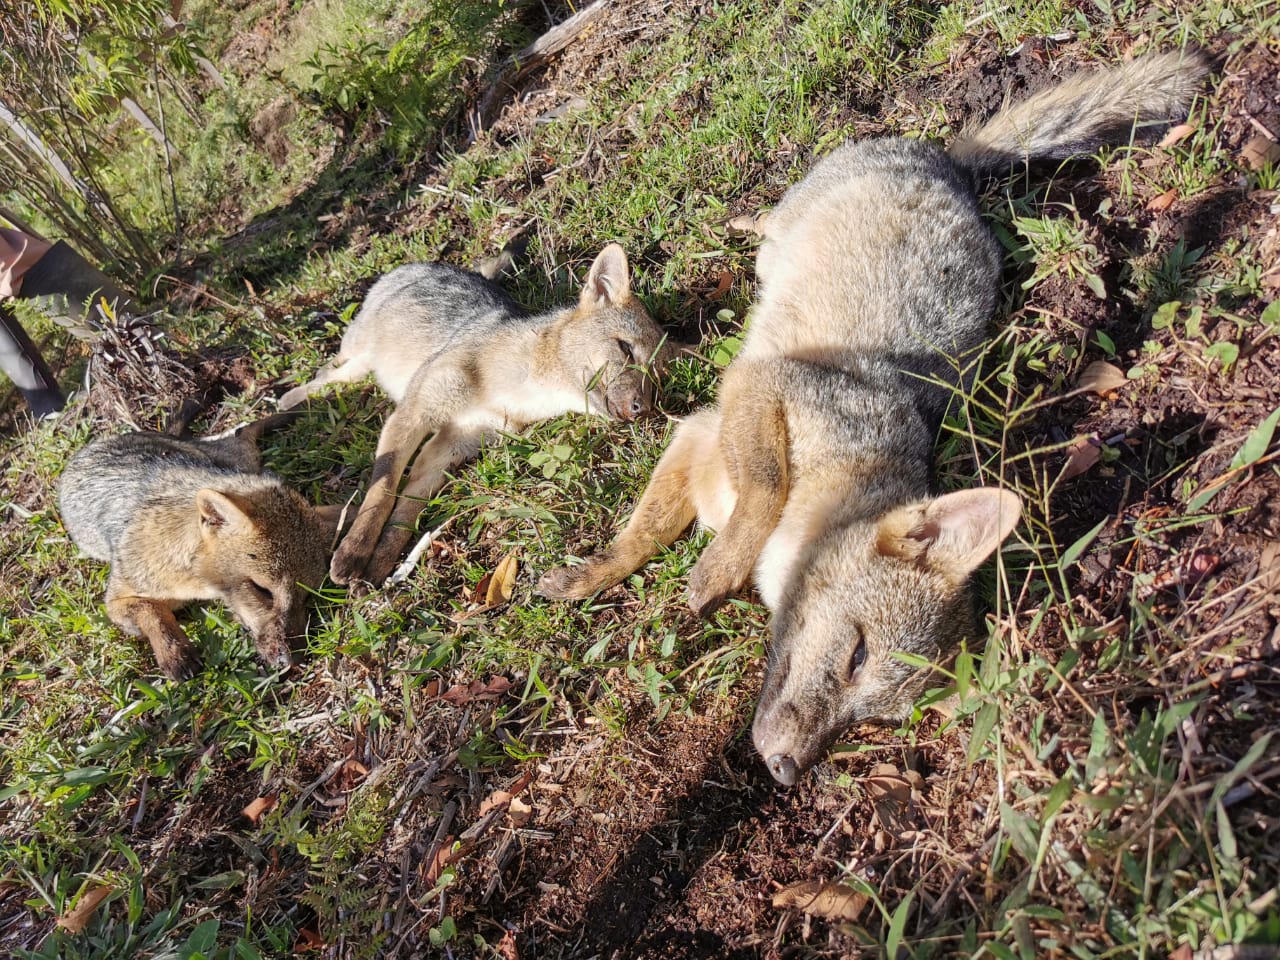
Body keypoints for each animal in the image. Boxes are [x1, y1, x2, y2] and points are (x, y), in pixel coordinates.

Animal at [58, 417, 340, 680]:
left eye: (308, 596)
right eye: (262, 591)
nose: (291, 660)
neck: (197, 582)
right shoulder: (117, 599)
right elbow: (151, 610)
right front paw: (174, 652)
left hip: (241, 459)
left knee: (243, 432)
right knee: (240, 432)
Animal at [282, 244, 670, 591]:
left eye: (656, 380)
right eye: (625, 349)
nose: (642, 409)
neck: (516, 389)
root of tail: (431, 265)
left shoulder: (448, 448)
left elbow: (404, 514)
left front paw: (378, 565)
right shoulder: (412, 414)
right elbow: (382, 491)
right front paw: (353, 553)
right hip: (358, 356)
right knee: (327, 373)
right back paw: (288, 400)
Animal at [537, 52, 1208, 783]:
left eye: (873, 721)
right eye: (856, 655)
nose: (786, 768)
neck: (849, 475)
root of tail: (941, 159)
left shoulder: (698, 434)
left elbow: (656, 527)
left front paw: (609, 573)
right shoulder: (750, 394)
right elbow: (713, 507)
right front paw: (671, 573)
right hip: (784, 236)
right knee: (766, 228)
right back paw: (742, 223)